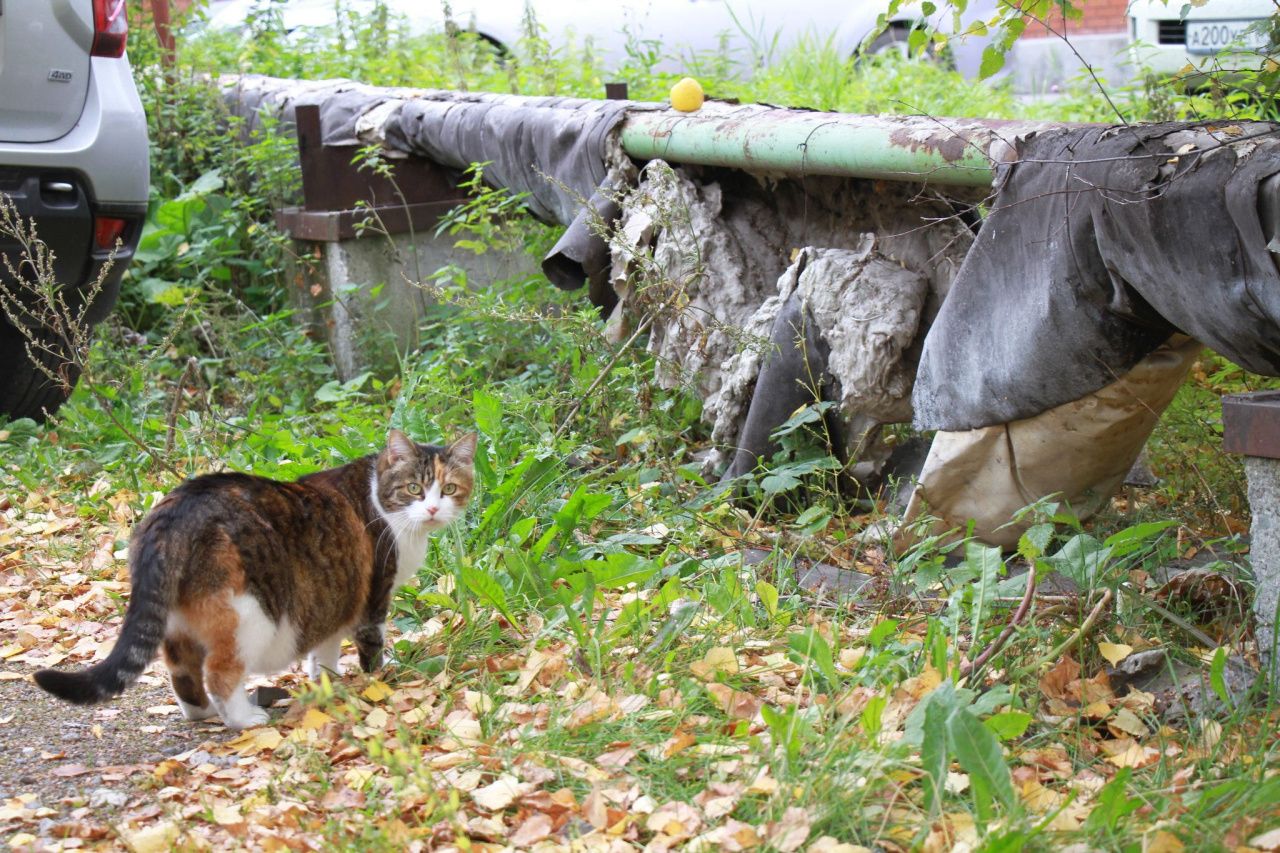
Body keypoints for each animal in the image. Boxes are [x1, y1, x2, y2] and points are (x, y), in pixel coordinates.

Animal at [35, 427, 478, 727]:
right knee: (218, 671)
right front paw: (379, 681)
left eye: (449, 489)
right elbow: (371, 648)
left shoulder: (337, 597)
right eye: (415, 488)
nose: (433, 510)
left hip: (178, 620)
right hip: (250, 614)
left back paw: (202, 712)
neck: (380, 499)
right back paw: (244, 718)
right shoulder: (373, 596)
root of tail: (174, 511)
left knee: (181, 671)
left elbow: (324, 651)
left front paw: (328, 683)